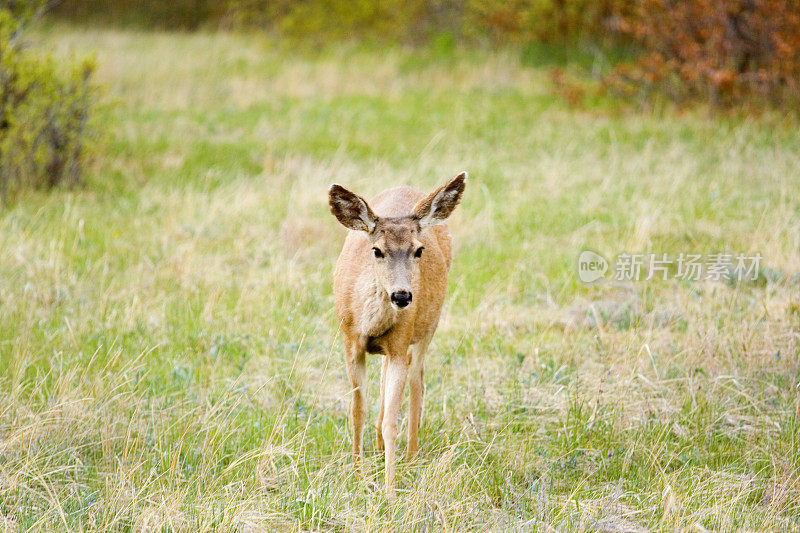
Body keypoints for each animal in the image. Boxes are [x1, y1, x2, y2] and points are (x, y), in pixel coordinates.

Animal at [326, 172, 466, 496]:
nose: (402, 296)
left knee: (417, 379)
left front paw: (389, 490)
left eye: (418, 250)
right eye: (377, 250)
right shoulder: (350, 343)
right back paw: (378, 447)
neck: (369, 324)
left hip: (429, 324)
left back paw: (411, 456)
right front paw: (358, 474)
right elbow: (357, 411)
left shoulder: (400, 343)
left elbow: (392, 419)